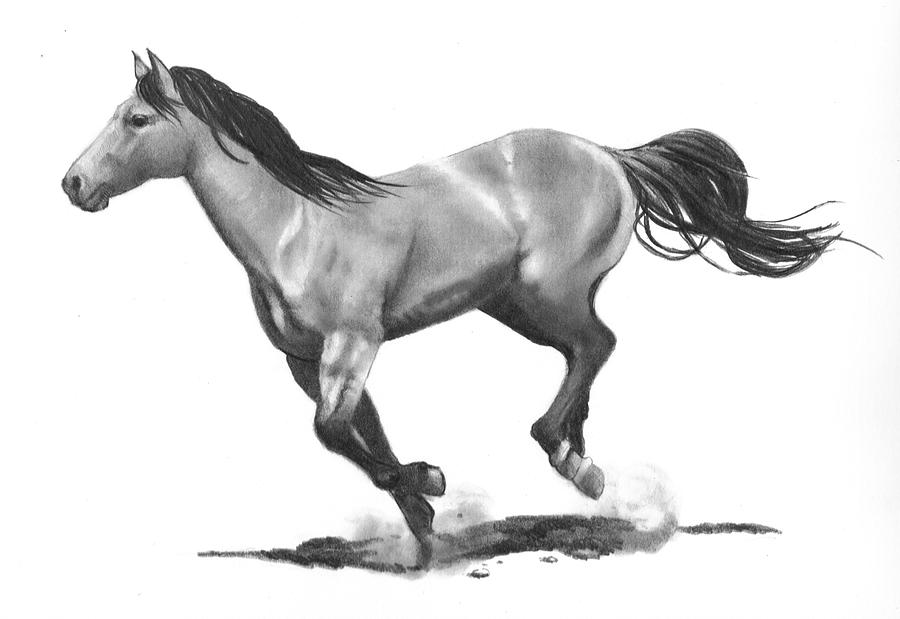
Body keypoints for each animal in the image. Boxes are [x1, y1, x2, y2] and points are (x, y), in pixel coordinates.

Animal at [62, 51, 854, 566]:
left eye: (137, 119)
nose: (73, 184)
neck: (295, 224)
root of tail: (610, 156)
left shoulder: (353, 342)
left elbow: (334, 430)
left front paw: (430, 486)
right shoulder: (309, 360)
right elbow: (360, 436)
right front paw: (423, 519)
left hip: (545, 294)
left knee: (597, 345)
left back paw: (573, 462)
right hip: (516, 304)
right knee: (586, 354)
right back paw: (578, 456)